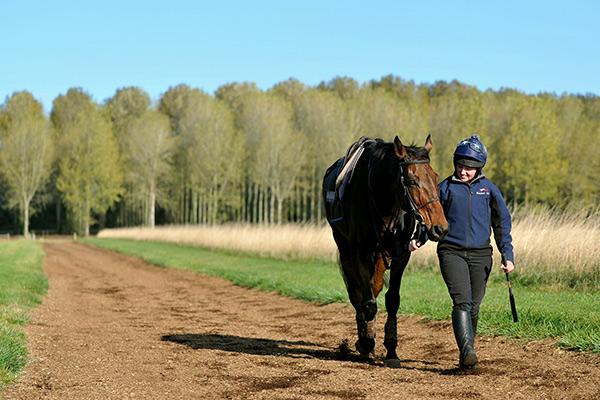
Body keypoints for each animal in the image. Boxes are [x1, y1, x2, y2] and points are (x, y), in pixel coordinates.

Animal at [324, 136, 446, 368]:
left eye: (435, 177)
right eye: (411, 180)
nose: (440, 227)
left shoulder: (400, 254)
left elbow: (392, 300)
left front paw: (391, 350)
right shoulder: (359, 253)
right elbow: (368, 302)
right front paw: (366, 342)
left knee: (375, 286)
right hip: (345, 249)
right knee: (357, 294)